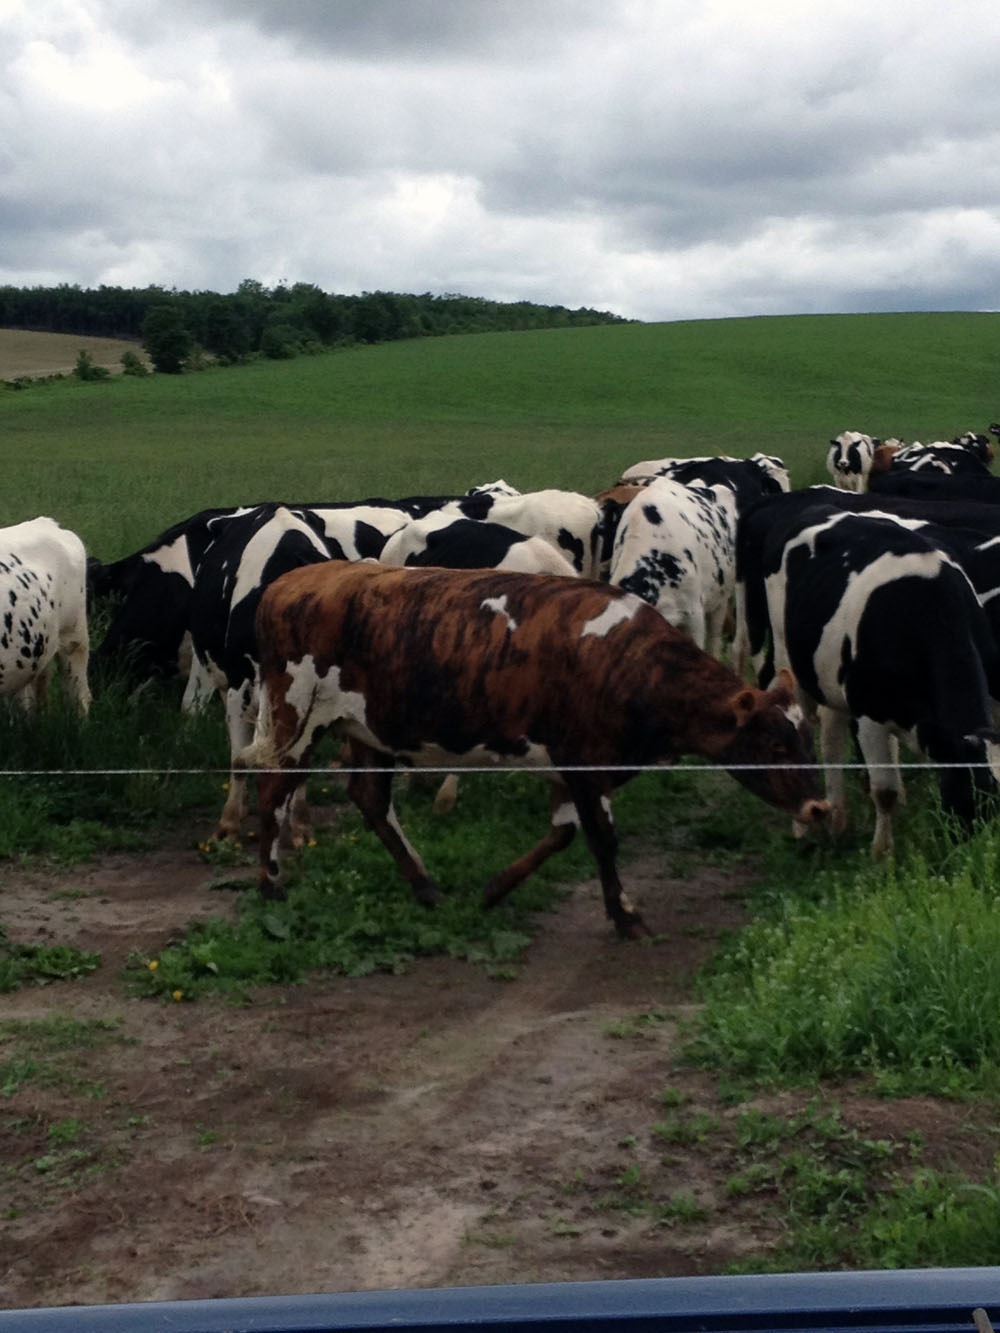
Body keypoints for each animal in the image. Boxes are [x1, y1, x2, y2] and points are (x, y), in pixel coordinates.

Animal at [239, 563, 828, 938]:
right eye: (776, 744)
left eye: (807, 740)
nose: (820, 808)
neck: (631, 664)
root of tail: (291, 582)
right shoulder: (586, 763)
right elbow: (602, 840)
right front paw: (625, 916)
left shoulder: (572, 770)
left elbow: (563, 833)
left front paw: (495, 889)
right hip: (298, 719)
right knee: (272, 792)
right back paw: (270, 885)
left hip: (369, 731)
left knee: (371, 801)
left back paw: (426, 887)